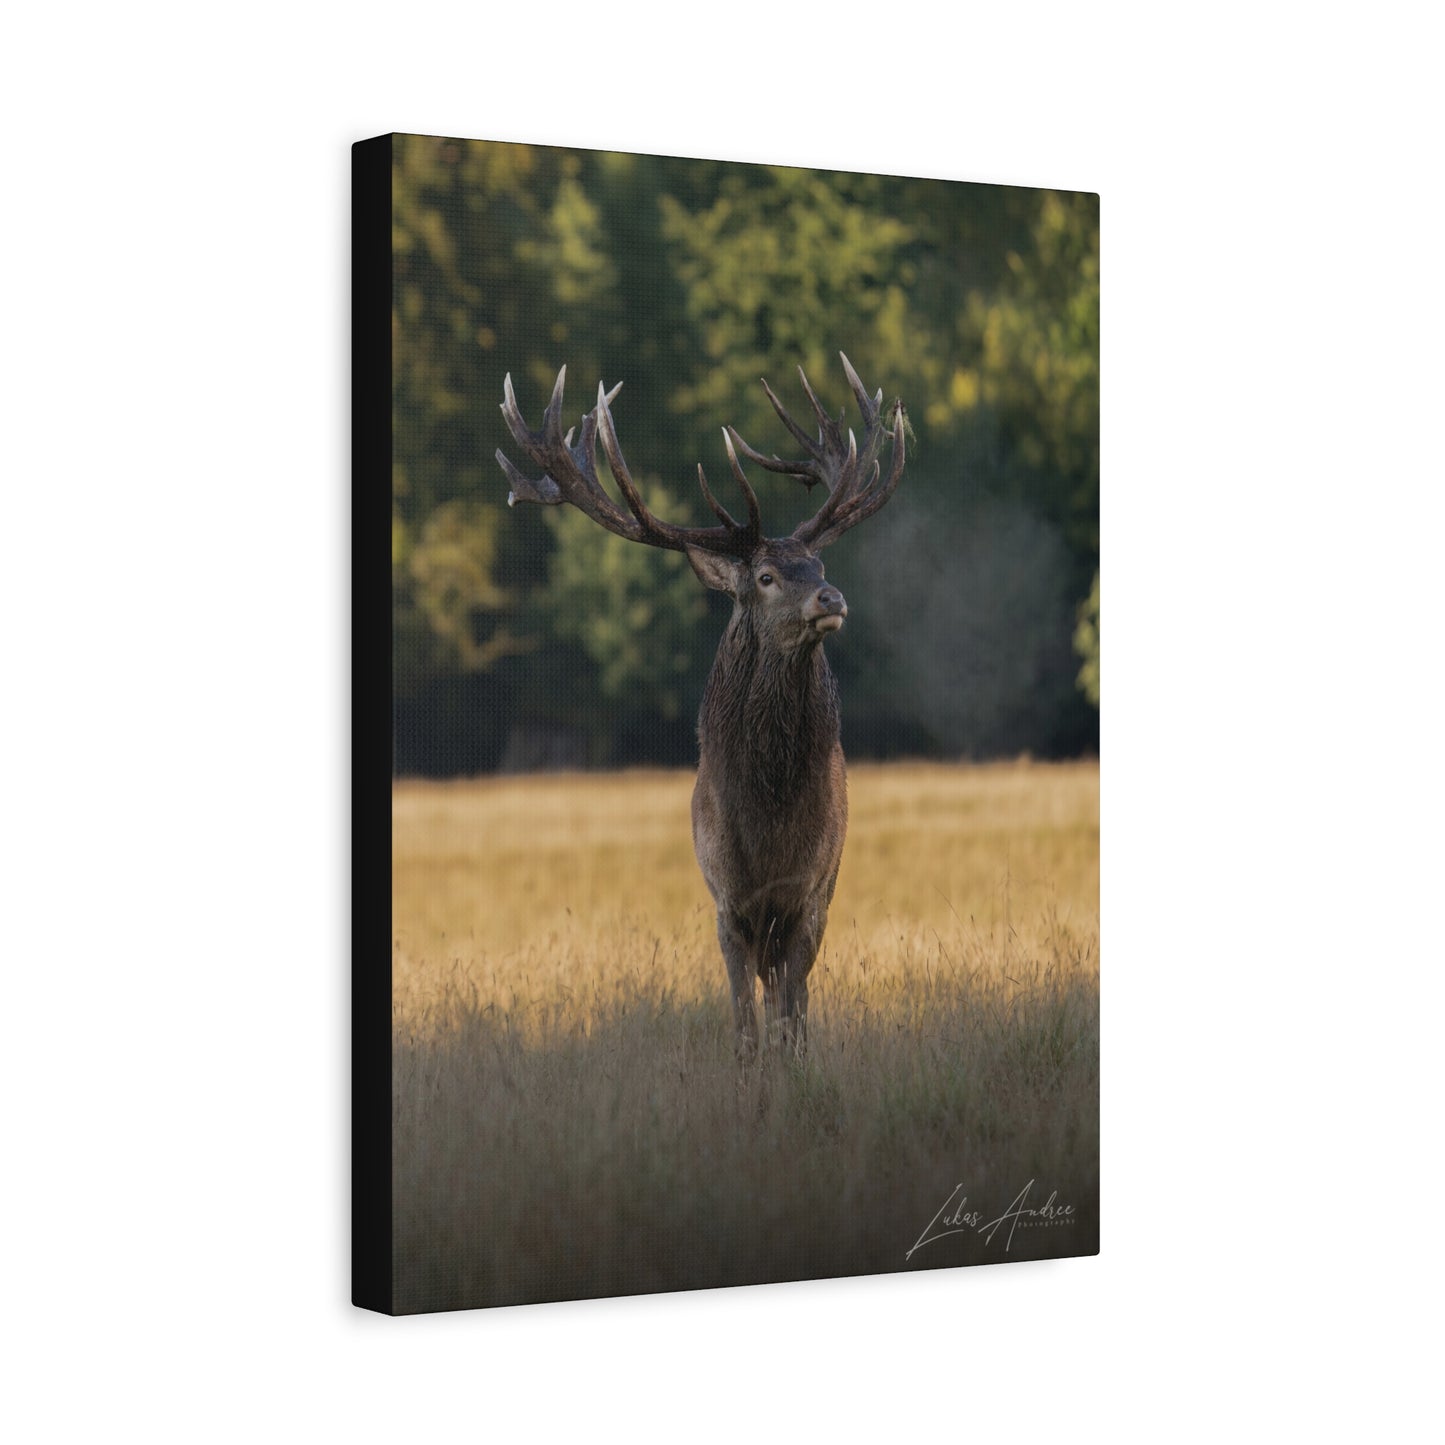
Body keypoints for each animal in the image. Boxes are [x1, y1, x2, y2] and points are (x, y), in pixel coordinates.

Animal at [496, 354, 906, 1057]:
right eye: (765, 577)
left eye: (820, 563)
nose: (831, 598)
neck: (769, 822)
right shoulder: (726, 900)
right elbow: (744, 1024)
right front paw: (748, 1068)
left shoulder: (808, 894)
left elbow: (791, 1016)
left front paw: (793, 1065)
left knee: (794, 996)